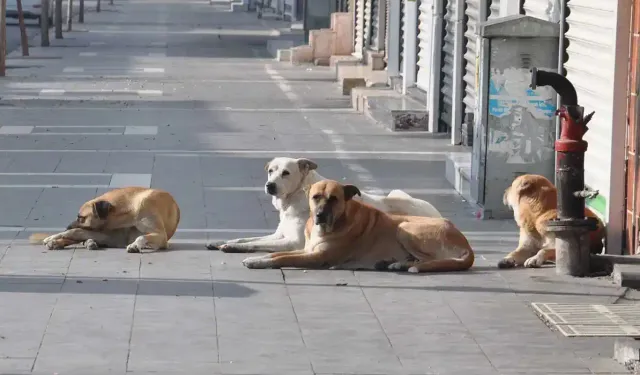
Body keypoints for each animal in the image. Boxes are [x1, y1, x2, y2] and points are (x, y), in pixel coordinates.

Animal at [29, 187, 180, 254]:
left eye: (81, 217)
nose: (66, 226)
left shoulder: (161, 236)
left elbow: (142, 236)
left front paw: (135, 245)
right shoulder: (110, 234)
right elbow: (75, 232)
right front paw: (54, 236)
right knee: (78, 235)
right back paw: (56, 241)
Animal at [205, 157, 440, 254]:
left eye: (286, 173)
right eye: (271, 171)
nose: (269, 185)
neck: (294, 199)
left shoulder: (293, 242)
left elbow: (255, 244)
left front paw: (232, 247)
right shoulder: (279, 234)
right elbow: (246, 238)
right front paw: (222, 241)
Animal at [240, 180, 476, 274]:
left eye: (334, 199)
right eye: (315, 197)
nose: (320, 215)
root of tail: (467, 245)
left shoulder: (316, 257)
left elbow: (281, 258)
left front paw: (257, 262)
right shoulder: (307, 250)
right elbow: (275, 254)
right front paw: (257, 258)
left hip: (405, 228)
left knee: (431, 260)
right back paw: (395, 263)